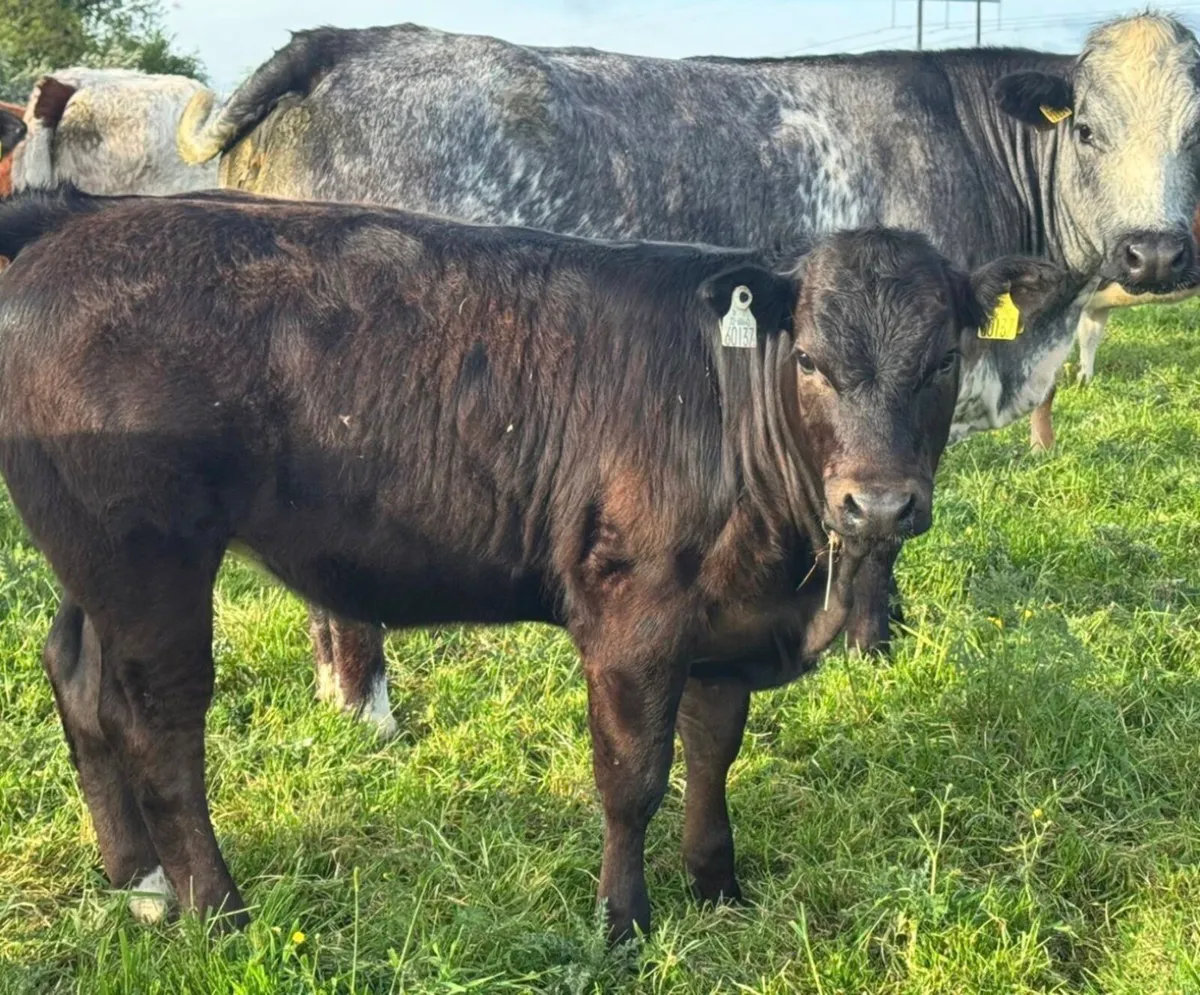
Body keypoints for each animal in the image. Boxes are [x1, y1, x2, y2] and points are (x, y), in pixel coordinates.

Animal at [0, 187, 1067, 941]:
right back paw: (218, 910)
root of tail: (73, 225)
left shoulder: (724, 617)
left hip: (94, 561)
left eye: (943, 358)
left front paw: (718, 885)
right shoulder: (634, 615)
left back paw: (138, 882)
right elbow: (632, 775)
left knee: (79, 680)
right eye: (809, 357)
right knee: (160, 727)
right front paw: (624, 922)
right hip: (151, 558)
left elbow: (713, 750)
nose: (877, 504)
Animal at [172, 13, 1200, 732]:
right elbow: (876, 536)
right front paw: (872, 648)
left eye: (1196, 136)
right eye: (1089, 130)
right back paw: (371, 710)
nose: (1153, 253)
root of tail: (340, 41)